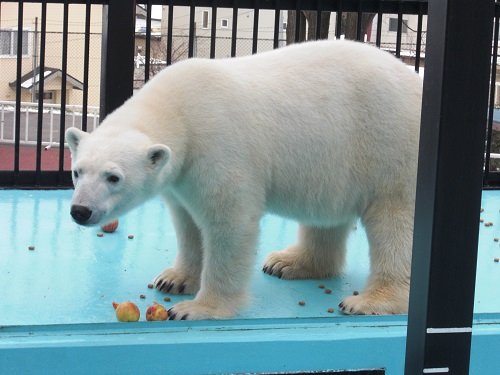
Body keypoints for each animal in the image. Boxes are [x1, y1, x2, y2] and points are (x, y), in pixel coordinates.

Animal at [66, 40, 422, 320]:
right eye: (78, 171)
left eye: (113, 177)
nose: (80, 211)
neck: (179, 109)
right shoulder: (182, 177)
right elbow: (187, 224)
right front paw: (174, 279)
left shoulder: (218, 146)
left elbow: (229, 222)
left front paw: (198, 308)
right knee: (325, 219)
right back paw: (288, 263)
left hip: (391, 145)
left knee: (395, 222)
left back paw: (372, 300)